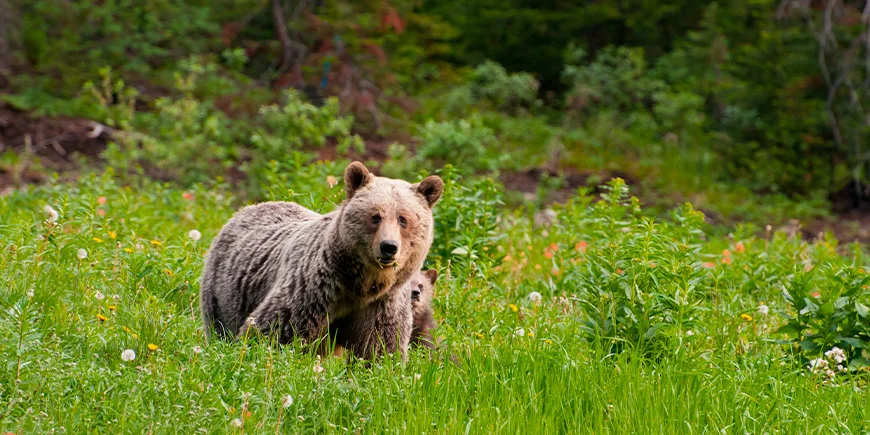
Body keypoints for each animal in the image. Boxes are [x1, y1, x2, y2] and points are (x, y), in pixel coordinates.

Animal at [199, 161, 444, 359]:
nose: (389, 247)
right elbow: (276, 329)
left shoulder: (382, 305)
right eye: (375, 216)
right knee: (220, 325)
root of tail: (246, 209)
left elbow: (379, 347)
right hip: (226, 291)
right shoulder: (315, 288)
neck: (361, 285)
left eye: (403, 219)